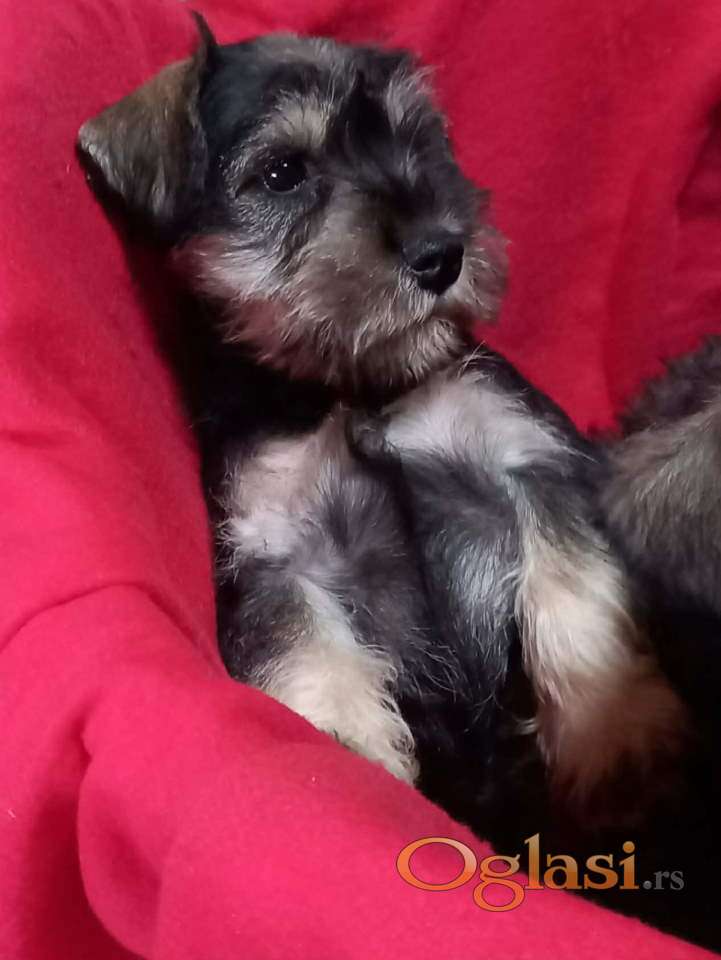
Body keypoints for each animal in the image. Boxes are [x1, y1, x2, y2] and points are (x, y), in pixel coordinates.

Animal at [78, 17, 685, 840]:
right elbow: (311, 658)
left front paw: (617, 735)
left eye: (419, 139)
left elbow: (577, 591)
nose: (442, 252)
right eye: (281, 172)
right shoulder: (276, 558)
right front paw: (353, 765)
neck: (349, 388)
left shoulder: (531, 459)